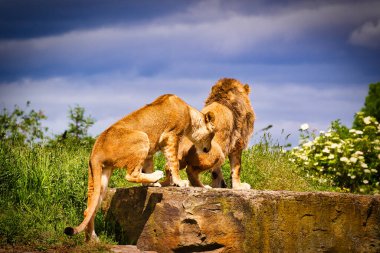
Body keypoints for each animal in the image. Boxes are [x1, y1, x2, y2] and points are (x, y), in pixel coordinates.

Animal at [63, 94, 215, 240]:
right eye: (212, 135)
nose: (208, 150)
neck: (190, 113)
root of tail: (96, 148)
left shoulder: (150, 152)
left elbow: (150, 167)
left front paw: (153, 183)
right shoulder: (171, 136)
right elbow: (174, 162)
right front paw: (179, 182)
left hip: (101, 177)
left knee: (89, 209)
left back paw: (92, 238)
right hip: (142, 136)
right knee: (131, 174)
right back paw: (157, 175)